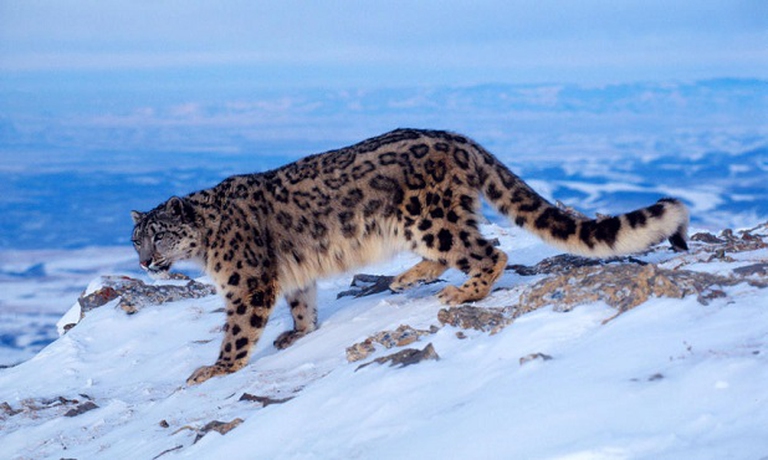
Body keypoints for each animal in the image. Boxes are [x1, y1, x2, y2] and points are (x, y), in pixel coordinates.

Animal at [131, 128, 689, 385]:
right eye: (136, 239)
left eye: (160, 235)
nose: (143, 263)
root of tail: (459, 139)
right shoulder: (289, 273)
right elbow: (302, 299)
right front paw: (298, 333)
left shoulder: (246, 280)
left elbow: (239, 328)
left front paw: (215, 369)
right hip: (424, 223)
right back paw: (406, 279)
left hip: (429, 217)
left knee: (488, 251)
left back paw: (462, 291)